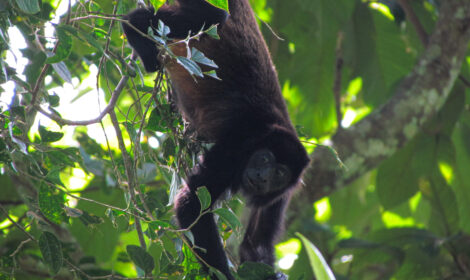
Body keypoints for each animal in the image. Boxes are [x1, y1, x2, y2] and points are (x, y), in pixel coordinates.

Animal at [123, 1, 310, 278]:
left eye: (280, 173)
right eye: (265, 159)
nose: (263, 177)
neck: (264, 135)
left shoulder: (284, 192)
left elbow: (256, 245)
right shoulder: (234, 148)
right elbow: (191, 203)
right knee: (211, 17)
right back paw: (138, 36)